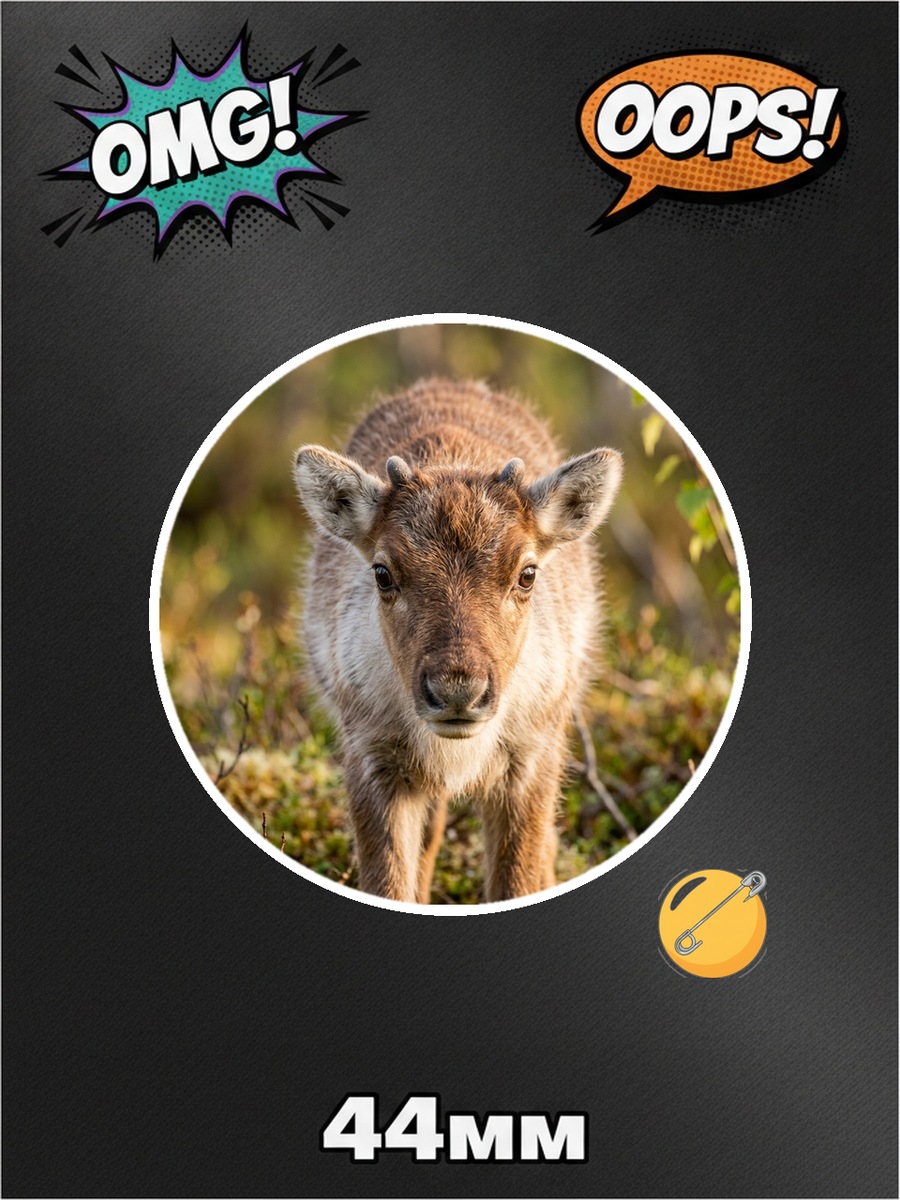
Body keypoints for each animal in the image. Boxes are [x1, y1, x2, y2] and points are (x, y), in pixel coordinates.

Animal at [293, 378, 622, 904]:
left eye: (527, 573)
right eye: (383, 572)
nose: (456, 691)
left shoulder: (531, 760)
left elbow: (517, 879)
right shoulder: (373, 759)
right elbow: (390, 882)